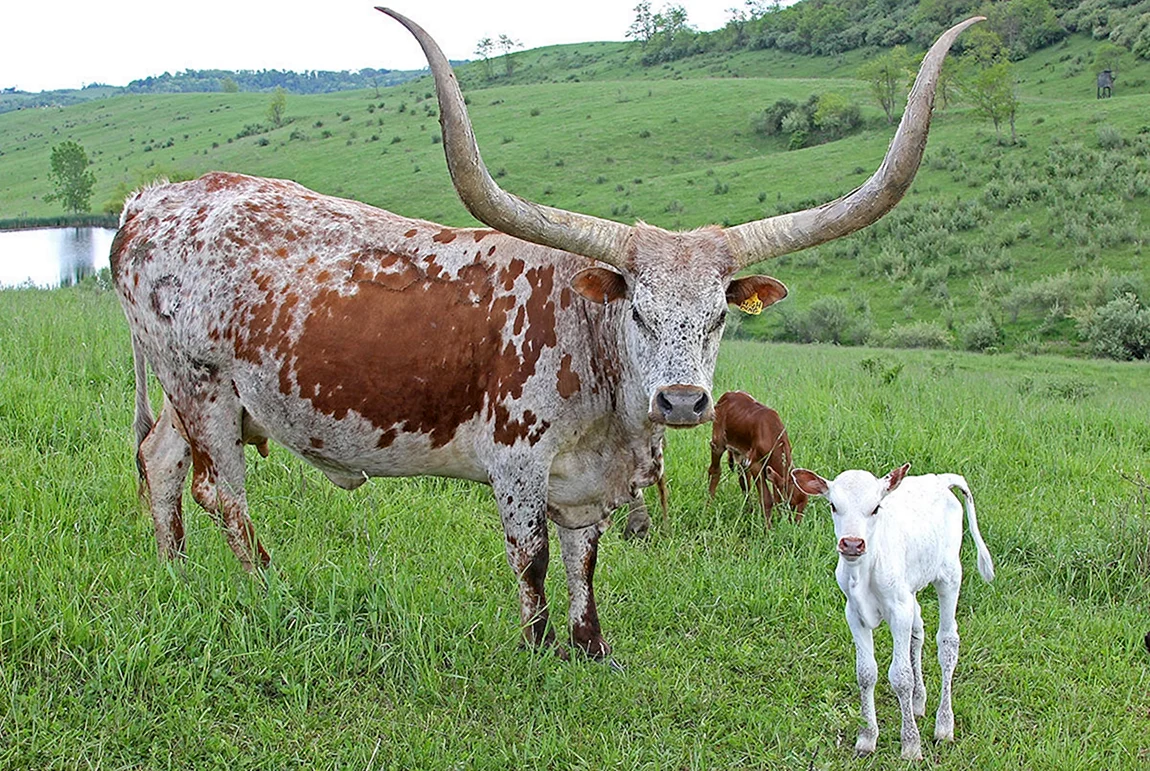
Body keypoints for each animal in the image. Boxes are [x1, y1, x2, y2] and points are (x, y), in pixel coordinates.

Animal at [706, 390, 806, 528]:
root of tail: (729, 394)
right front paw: (768, 529)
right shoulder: (755, 464)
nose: (796, 526)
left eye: (804, 506)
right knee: (715, 471)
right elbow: (766, 499)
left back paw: (749, 510)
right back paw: (707, 507)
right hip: (717, 443)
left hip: (740, 453)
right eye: (790, 504)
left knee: (743, 480)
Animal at [791, 463, 995, 760]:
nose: (852, 544)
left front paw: (910, 744)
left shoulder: (898, 610)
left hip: (949, 575)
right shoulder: (854, 612)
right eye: (833, 506)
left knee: (947, 641)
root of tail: (940, 480)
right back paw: (919, 702)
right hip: (911, 590)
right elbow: (866, 673)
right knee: (918, 632)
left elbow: (900, 677)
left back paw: (944, 725)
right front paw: (866, 738)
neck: (864, 571)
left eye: (876, 507)